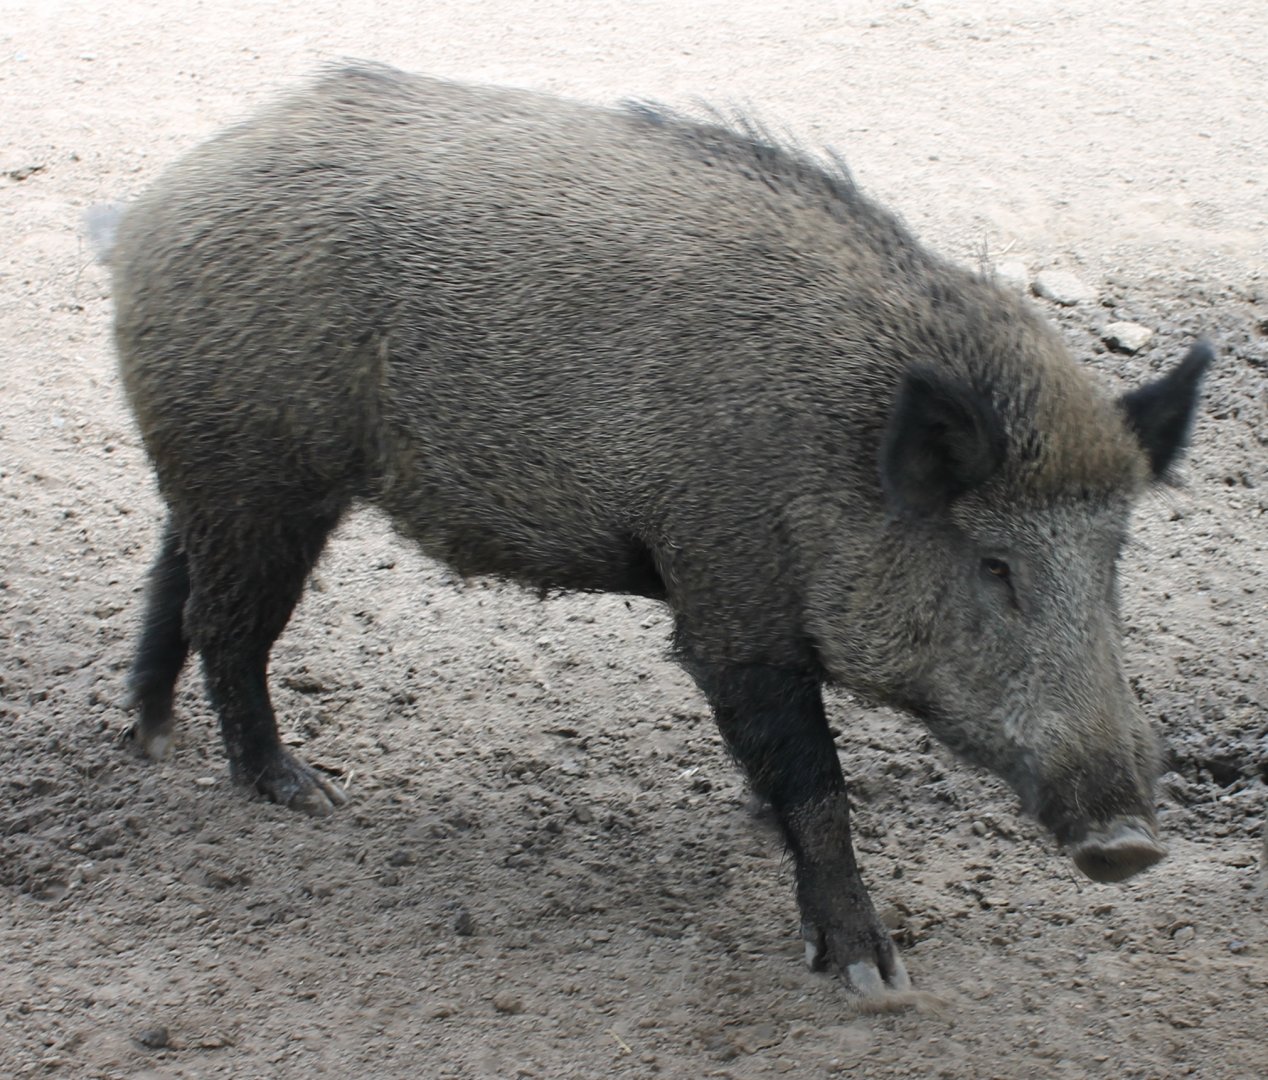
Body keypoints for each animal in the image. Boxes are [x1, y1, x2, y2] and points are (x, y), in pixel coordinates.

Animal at [106, 62, 1211, 996]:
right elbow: (815, 785)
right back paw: (302, 793)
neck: (839, 450)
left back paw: (151, 740)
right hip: (260, 473)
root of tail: (153, 203)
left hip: (222, 477)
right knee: (228, 628)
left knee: (172, 583)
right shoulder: (726, 604)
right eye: (993, 565)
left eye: (1114, 558)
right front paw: (871, 979)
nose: (1128, 843)